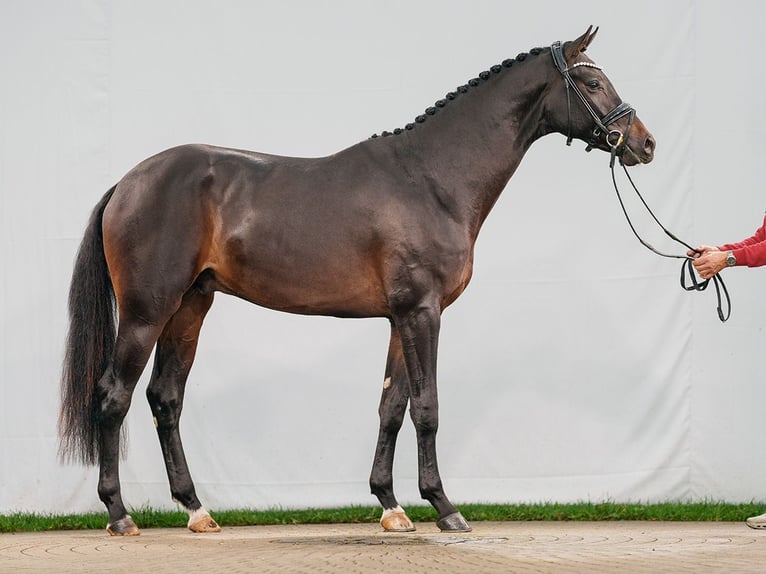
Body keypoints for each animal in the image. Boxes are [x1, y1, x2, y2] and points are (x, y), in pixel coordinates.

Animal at [60, 29, 660, 536]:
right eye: (591, 82)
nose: (644, 143)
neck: (433, 178)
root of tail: (128, 182)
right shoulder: (423, 313)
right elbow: (427, 407)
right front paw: (445, 507)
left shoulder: (400, 318)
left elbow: (392, 406)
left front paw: (391, 506)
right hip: (147, 312)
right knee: (114, 396)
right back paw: (119, 514)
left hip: (190, 307)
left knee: (165, 399)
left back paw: (196, 510)